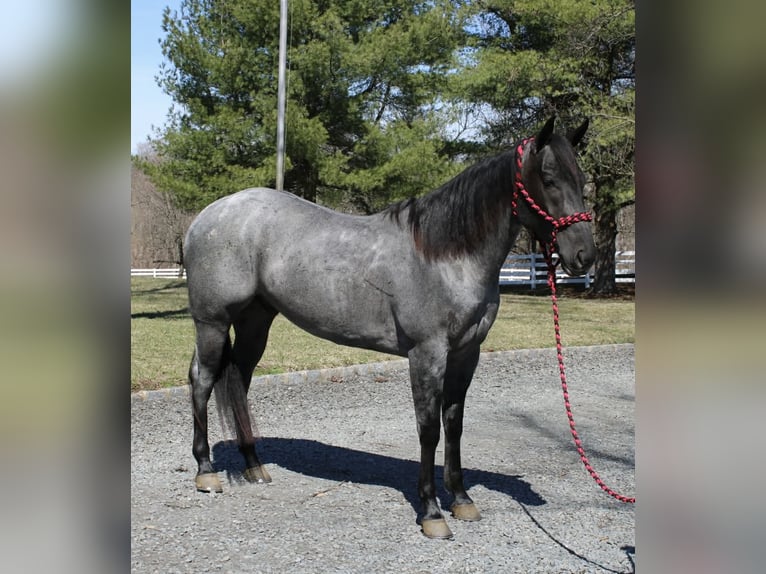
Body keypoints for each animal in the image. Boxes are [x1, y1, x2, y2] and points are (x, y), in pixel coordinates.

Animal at [183, 116, 596, 539]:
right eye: (548, 179)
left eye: (581, 179)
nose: (584, 256)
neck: (446, 256)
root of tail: (208, 215)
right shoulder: (427, 354)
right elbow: (428, 429)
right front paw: (431, 511)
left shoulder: (467, 353)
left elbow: (454, 424)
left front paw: (461, 499)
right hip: (213, 322)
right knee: (202, 379)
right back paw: (206, 471)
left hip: (256, 321)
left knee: (239, 379)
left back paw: (253, 465)